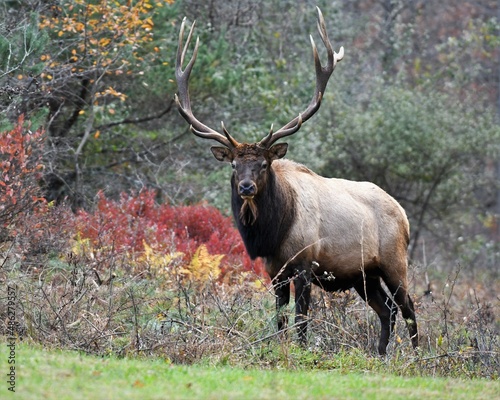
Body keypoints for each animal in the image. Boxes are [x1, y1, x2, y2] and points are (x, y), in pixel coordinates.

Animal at [176, 7, 418, 354]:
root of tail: (403, 214)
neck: (273, 232)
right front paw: (278, 348)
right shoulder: (274, 270)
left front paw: (302, 352)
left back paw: (417, 355)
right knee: (386, 309)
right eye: (234, 164)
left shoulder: (305, 264)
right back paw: (381, 354)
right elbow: (279, 319)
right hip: (364, 275)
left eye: (264, 164)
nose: (246, 187)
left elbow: (301, 320)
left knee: (408, 307)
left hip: (394, 261)